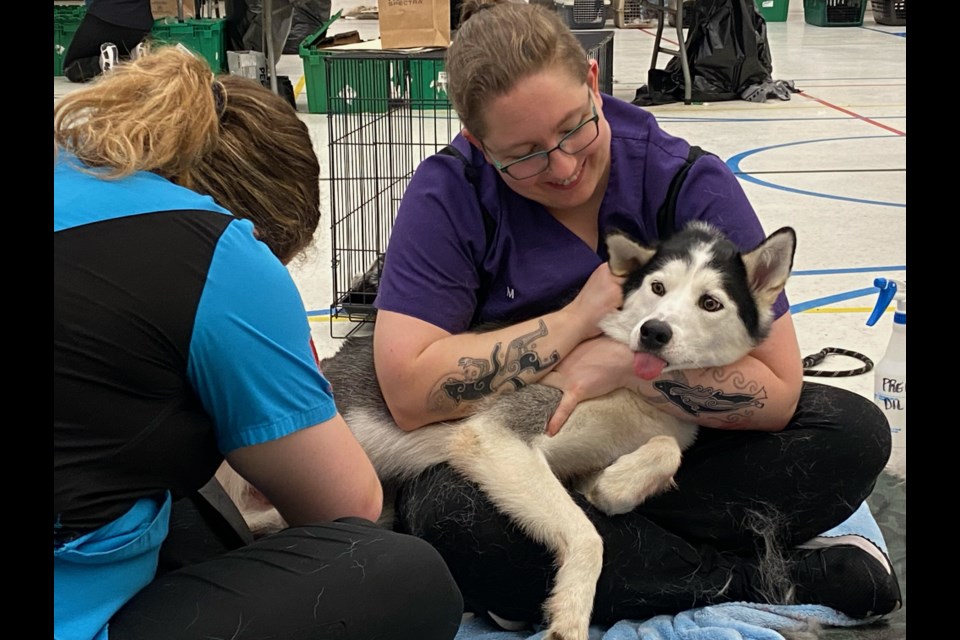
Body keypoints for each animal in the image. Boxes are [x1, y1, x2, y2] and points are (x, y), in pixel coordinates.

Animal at [218, 221, 796, 640]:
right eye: (657, 288)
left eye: (710, 302)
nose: (653, 332)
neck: (633, 387)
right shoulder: (495, 437)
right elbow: (587, 536)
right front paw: (570, 616)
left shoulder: (589, 462)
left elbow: (656, 455)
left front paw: (620, 486)